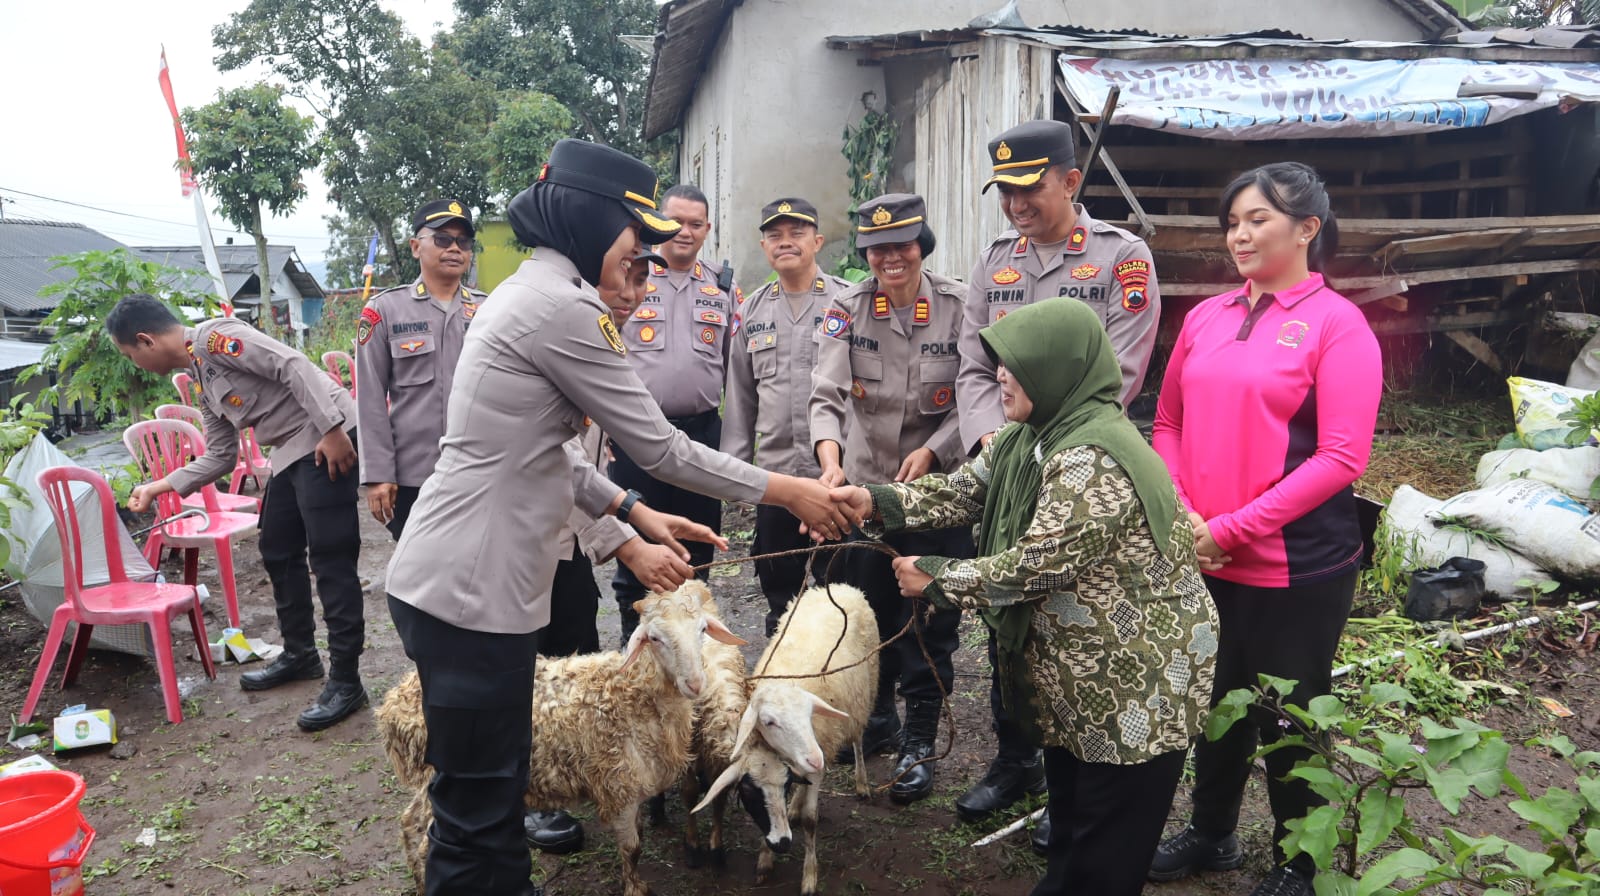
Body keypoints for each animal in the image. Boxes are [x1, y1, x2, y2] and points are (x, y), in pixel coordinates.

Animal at [377, 585, 745, 896]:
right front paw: (635, 888)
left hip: (427, 782)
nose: (695, 684)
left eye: (702, 630)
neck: (634, 694)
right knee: (427, 841)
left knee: (409, 824)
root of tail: (393, 704)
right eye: (655, 638)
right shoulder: (619, 787)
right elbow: (633, 849)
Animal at [694, 582, 883, 896]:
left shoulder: (816, 754)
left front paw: (809, 876)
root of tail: (839, 586)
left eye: (809, 714)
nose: (816, 759)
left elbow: (810, 820)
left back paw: (861, 782)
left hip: (864, 690)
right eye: (770, 721)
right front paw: (765, 860)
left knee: (857, 738)